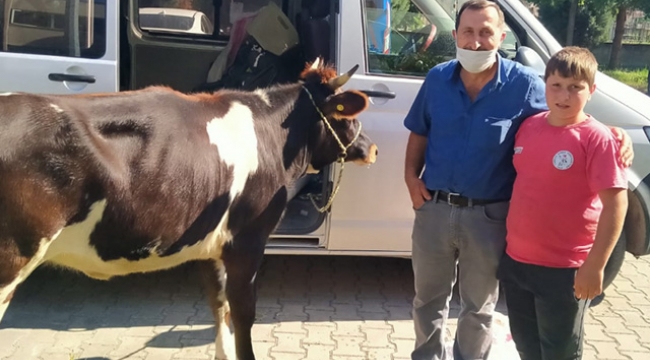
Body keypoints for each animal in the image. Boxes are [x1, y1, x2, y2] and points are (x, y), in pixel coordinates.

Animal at [0, 59, 374, 360]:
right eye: (349, 119)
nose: (373, 149)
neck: (271, 135)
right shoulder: (247, 241)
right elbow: (243, 312)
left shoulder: (210, 243)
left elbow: (218, 303)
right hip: (13, 257)